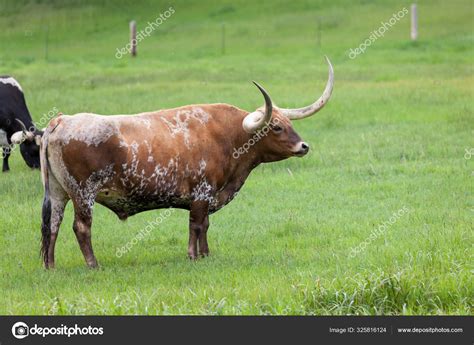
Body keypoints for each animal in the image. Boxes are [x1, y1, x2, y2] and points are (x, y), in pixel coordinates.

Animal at [40, 56, 336, 268]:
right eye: (276, 127)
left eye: (289, 124)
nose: (303, 146)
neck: (229, 136)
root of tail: (61, 120)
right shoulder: (202, 193)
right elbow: (196, 224)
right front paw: (194, 256)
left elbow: (204, 225)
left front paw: (205, 254)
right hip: (83, 193)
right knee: (81, 227)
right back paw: (93, 264)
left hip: (58, 191)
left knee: (53, 224)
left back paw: (50, 266)